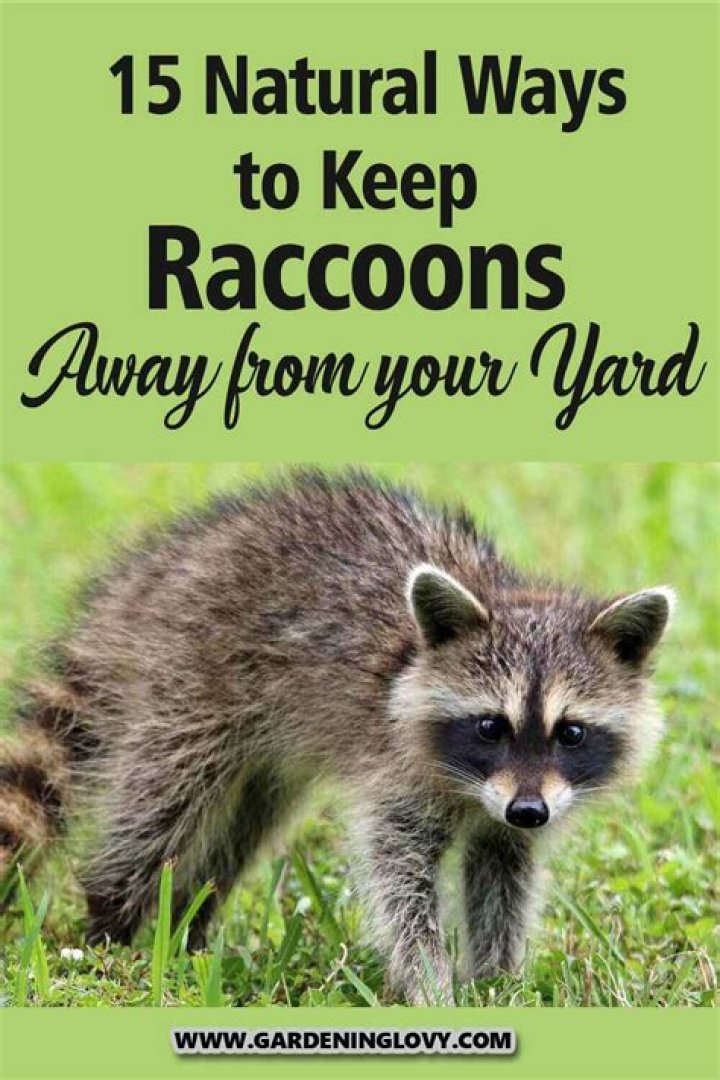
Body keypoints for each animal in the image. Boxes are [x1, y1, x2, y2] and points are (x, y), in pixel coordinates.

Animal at [0, 471, 673, 1003]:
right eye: (490, 726)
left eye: (571, 733)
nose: (528, 810)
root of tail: (158, 570)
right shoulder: (397, 771)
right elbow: (399, 878)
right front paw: (430, 982)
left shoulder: (513, 811)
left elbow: (502, 875)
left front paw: (497, 980)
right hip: (190, 676)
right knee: (161, 801)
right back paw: (109, 920)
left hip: (263, 747)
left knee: (241, 828)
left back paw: (190, 920)